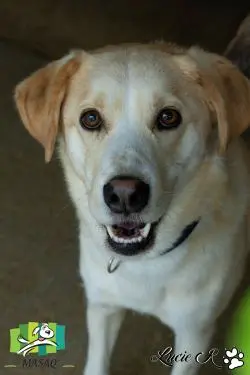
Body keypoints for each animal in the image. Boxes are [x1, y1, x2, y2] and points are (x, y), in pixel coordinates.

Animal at [13, 39, 250, 374]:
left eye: (168, 117)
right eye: (90, 119)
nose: (124, 195)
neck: (145, 265)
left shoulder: (194, 334)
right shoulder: (102, 307)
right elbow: (97, 363)